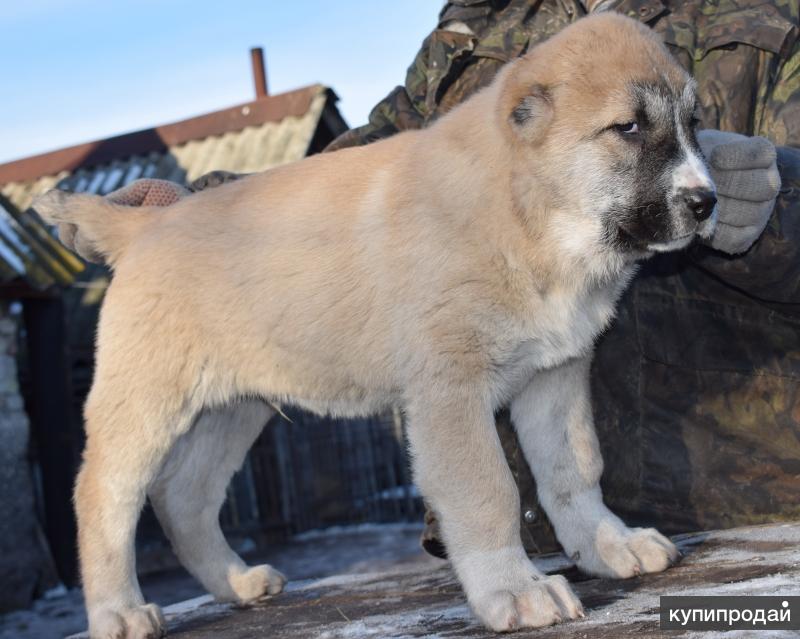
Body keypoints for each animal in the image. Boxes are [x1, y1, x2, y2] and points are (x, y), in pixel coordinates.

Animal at [34, 12, 716, 636]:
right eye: (629, 128)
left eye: (693, 124)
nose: (708, 201)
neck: (526, 215)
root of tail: (141, 225)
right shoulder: (450, 392)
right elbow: (488, 491)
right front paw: (515, 591)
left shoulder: (556, 374)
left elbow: (576, 470)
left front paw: (608, 544)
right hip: (146, 401)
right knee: (103, 496)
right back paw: (119, 612)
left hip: (232, 408)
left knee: (185, 496)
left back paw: (235, 582)